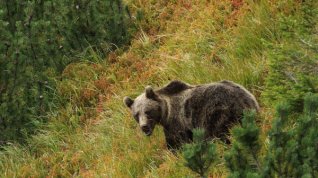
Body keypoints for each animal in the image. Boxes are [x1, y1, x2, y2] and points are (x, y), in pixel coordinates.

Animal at [123, 80, 260, 149]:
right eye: (136, 115)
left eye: (147, 111)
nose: (144, 126)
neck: (165, 113)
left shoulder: (176, 122)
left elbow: (177, 142)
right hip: (251, 108)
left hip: (216, 111)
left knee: (217, 133)